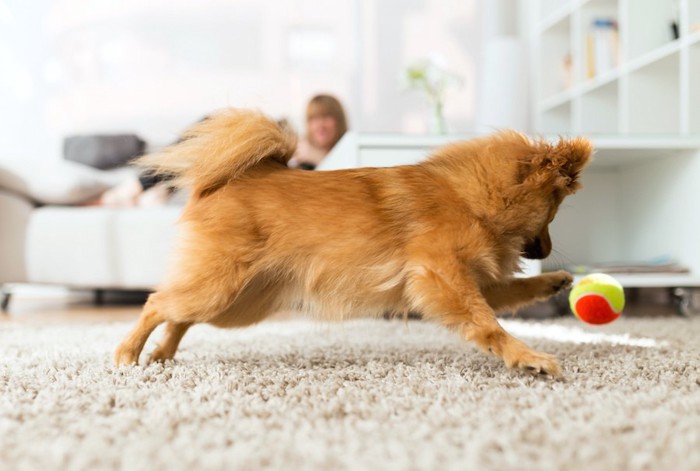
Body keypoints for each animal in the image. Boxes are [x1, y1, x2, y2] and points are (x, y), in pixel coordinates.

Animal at [115, 109, 592, 378]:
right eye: (552, 215)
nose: (546, 250)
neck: (472, 198)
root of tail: (223, 183)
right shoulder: (440, 277)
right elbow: (487, 323)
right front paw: (527, 357)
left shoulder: (469, 281)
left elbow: (512, 292)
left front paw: (554, 281)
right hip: (220, 288)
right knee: (157, 302)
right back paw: (128, 352)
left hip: (238, 304)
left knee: (179, 316)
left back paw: (162, 353)